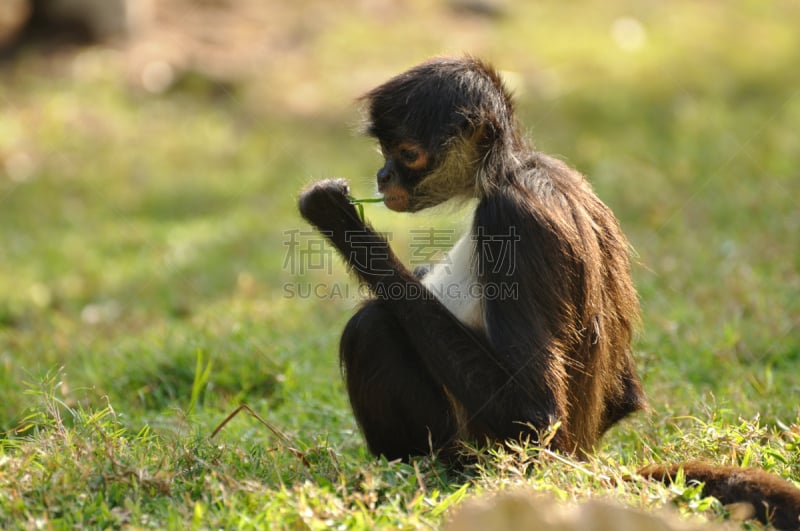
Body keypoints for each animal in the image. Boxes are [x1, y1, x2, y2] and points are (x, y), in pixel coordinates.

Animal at [296, 56, 800, 528]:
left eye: (406, 152)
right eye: (384, 151)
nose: (382, 176)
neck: (514, 172)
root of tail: (571, 462)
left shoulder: (508, 219)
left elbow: (533, 412)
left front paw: (337, 217)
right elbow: (625, 395)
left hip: (485, 452)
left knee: (373, 325)